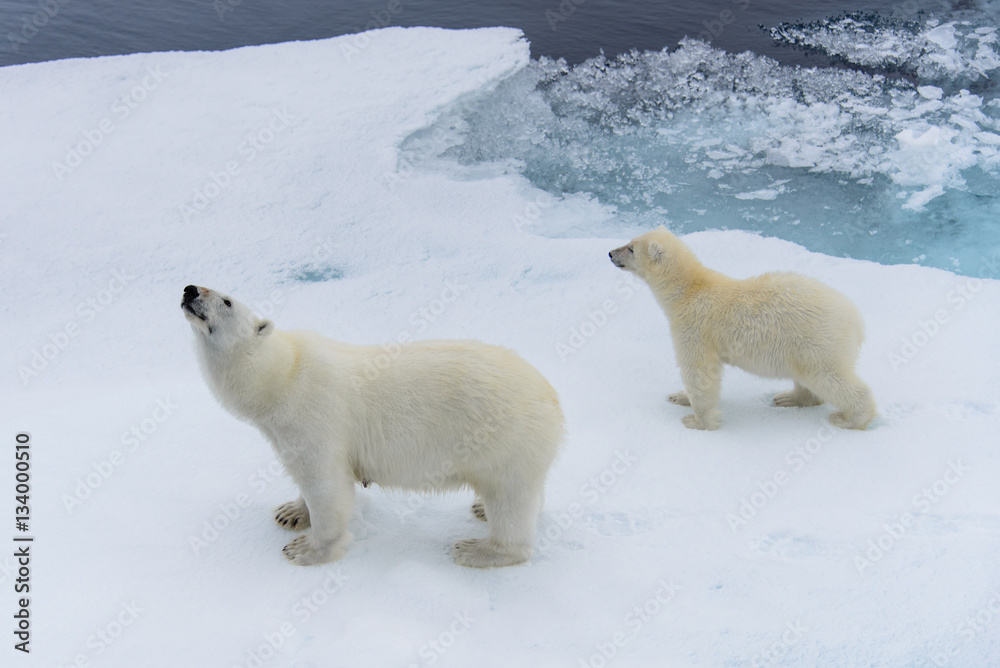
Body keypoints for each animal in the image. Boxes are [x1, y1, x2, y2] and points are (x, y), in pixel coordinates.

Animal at [181, 285, 564, 567]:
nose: (190, 289)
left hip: (504, 440)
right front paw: (291, 513)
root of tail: (553, 399)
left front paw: (306, 549)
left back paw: (477, 549)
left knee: (510, 500)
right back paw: (482, 508)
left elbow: (326, 485)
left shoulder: (315, 417)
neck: (282, 376)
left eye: (227, 300)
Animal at [609, 227, 876, 431]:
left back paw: (849, 419)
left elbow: (699, 370)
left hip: (817, 340)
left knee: (829, 376)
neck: (689, 289)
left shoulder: (695, 327)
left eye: (631, 248)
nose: (611, 253)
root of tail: (856, 319)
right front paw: (679, 396)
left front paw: (697, 421)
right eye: (629, 241)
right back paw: (787, 397)